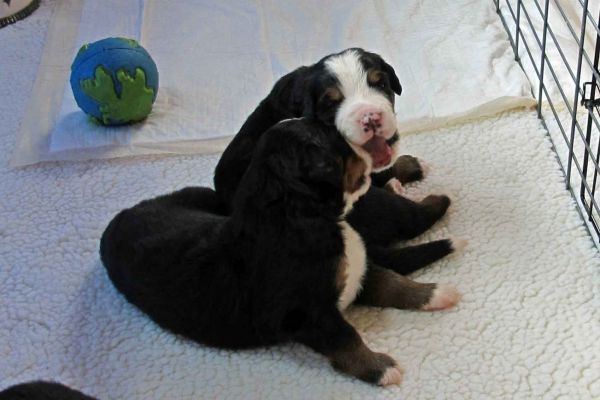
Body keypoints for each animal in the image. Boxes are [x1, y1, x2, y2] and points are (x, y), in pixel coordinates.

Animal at [99, 118, 460, 384]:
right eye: (339, 146)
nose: (382, 148)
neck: (296, 216)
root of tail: (117, 219)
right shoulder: (307, 312)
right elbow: (346, 336)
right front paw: (381, 368)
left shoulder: (354, 272)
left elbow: (390, 282)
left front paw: (435, 293)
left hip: (200, 195)